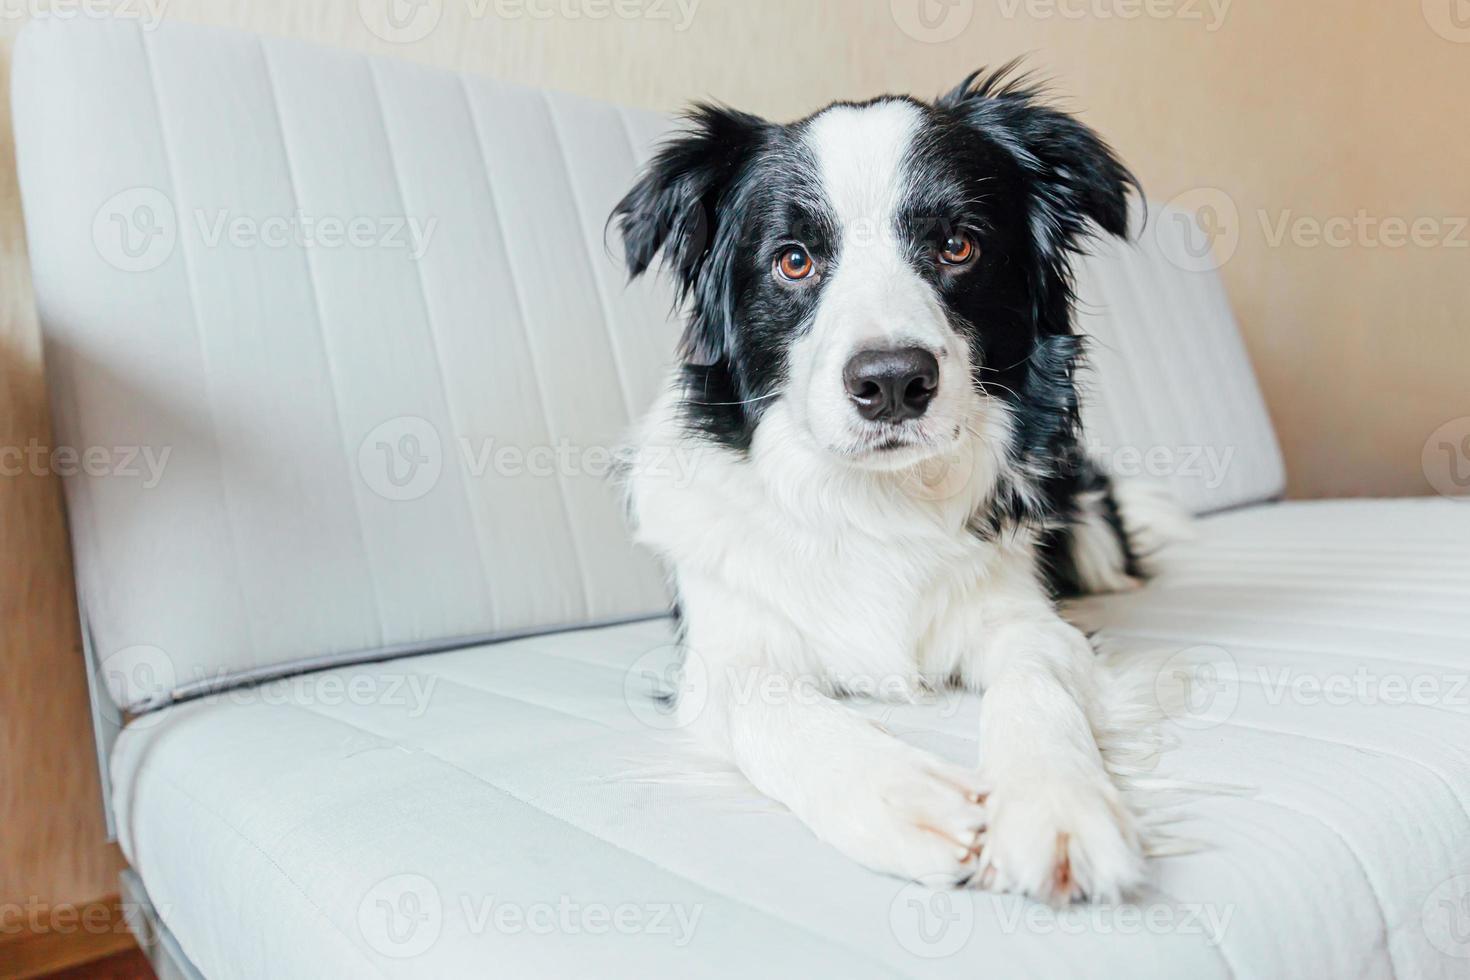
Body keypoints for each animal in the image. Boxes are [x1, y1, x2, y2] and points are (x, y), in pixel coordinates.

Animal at [614, 63, 1176, 905]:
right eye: (793, 260)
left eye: (957, 245)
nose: (891, 383)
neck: (873, 498)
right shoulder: (720, 652)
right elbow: (767, 703)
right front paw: (902, 799)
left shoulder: (1026, 614)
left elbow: (1036, 680)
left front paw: (1056, 804)